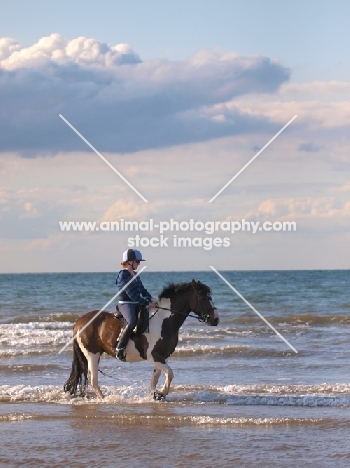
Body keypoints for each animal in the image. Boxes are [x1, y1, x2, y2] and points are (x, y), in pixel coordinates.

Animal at [63, 280, 219, 400]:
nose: (215, 319)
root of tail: (79, 321)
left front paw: (155, 395)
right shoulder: (153, 355)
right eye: (203, 298)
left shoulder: (161, 356)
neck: (164, 320)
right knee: (92, 377)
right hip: (92, 354)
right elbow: (170, 373)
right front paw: (162, 393)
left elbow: (156, 377)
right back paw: (104, 399)